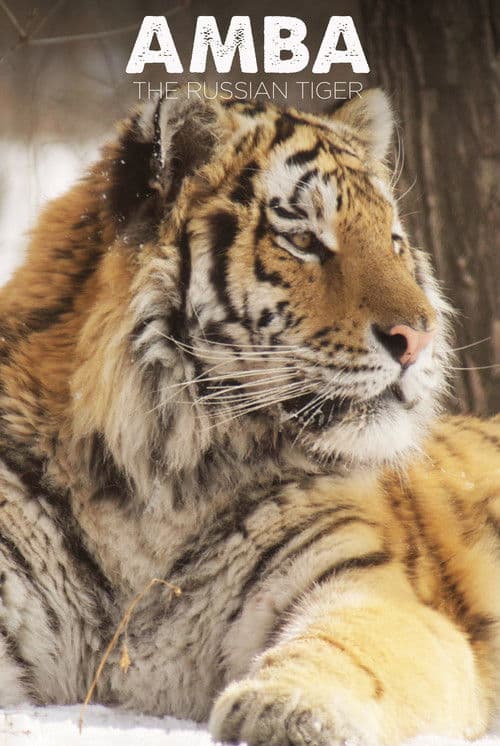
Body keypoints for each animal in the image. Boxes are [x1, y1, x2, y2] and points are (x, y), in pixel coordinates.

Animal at [0, 87, 499, 746]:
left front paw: (288, 710)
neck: (155, 484)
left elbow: (346, 646)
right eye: (304, 240)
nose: (420, 337)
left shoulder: (368, 582)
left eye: (393, 239)